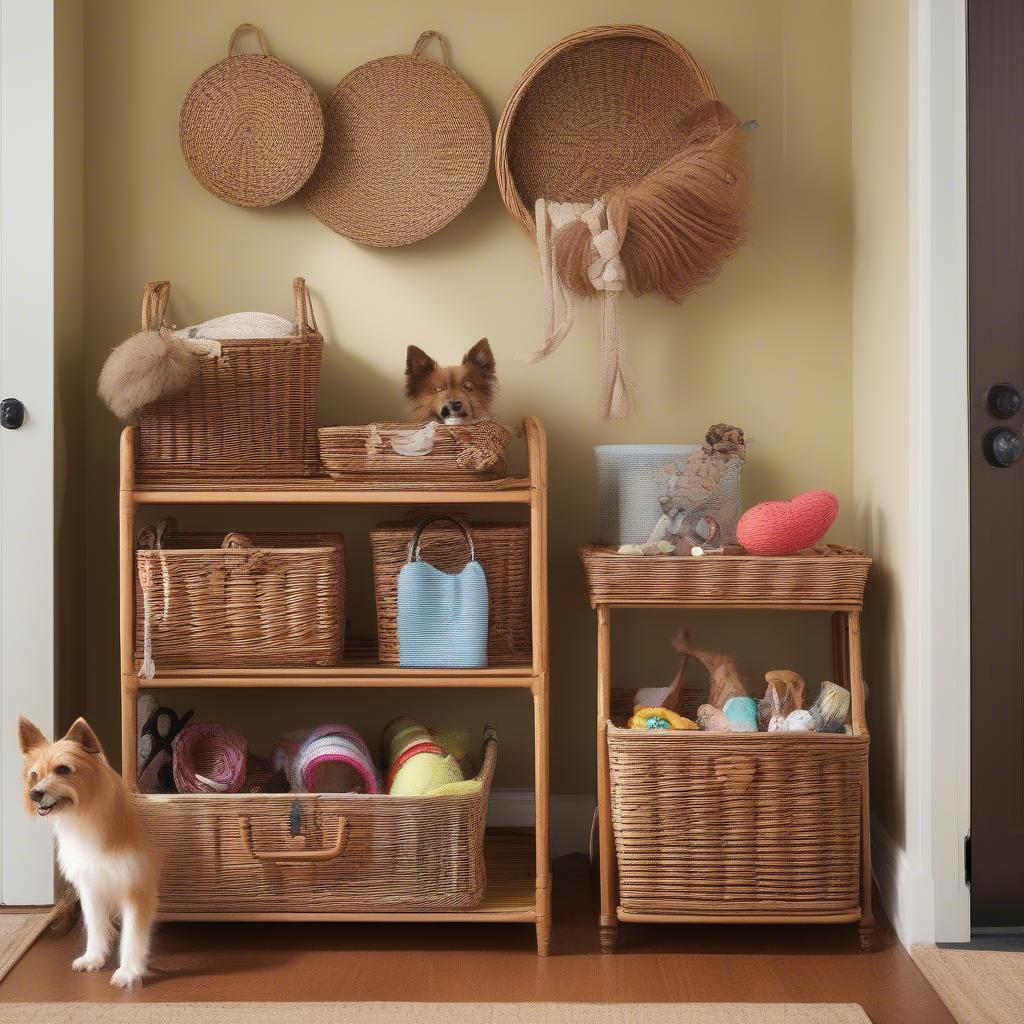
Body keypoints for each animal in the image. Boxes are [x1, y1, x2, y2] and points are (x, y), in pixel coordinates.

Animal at [18, 716, 158, 987]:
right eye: (34, 775)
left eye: (63, 770)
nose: (35, 794)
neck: (83, 817)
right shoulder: (91, 886)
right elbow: (94, 926)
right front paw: (93, 958)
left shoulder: (135, 889)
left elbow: (132, 937)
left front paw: (128, 972)